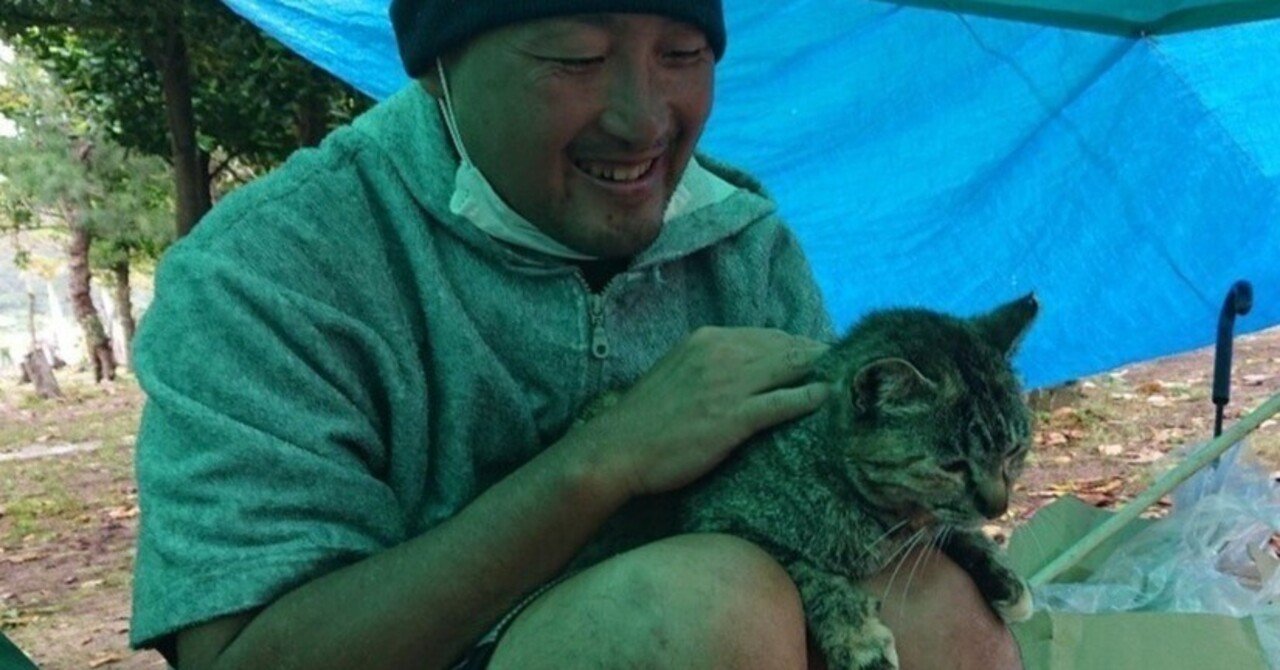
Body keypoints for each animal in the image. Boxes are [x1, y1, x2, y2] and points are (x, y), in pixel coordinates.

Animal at [570, 293, 1039, 670]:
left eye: (1014, 451)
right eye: (953, 465)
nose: (998, 507)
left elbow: (948, 530)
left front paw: (999, 572)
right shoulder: (719, 520)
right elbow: (809, 576)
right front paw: (858, 638)